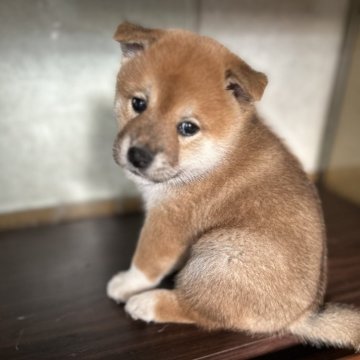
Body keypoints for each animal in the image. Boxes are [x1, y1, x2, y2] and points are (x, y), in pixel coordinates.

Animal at [107, 21, 360, 350]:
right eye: (138, 103)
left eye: (187, 127)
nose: (138, 156)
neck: (213, 157)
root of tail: (301, 316)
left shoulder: (167, 222)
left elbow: (145, 263)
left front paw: (127, 283)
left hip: (220, 254)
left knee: (201, 312)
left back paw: (147, 303)